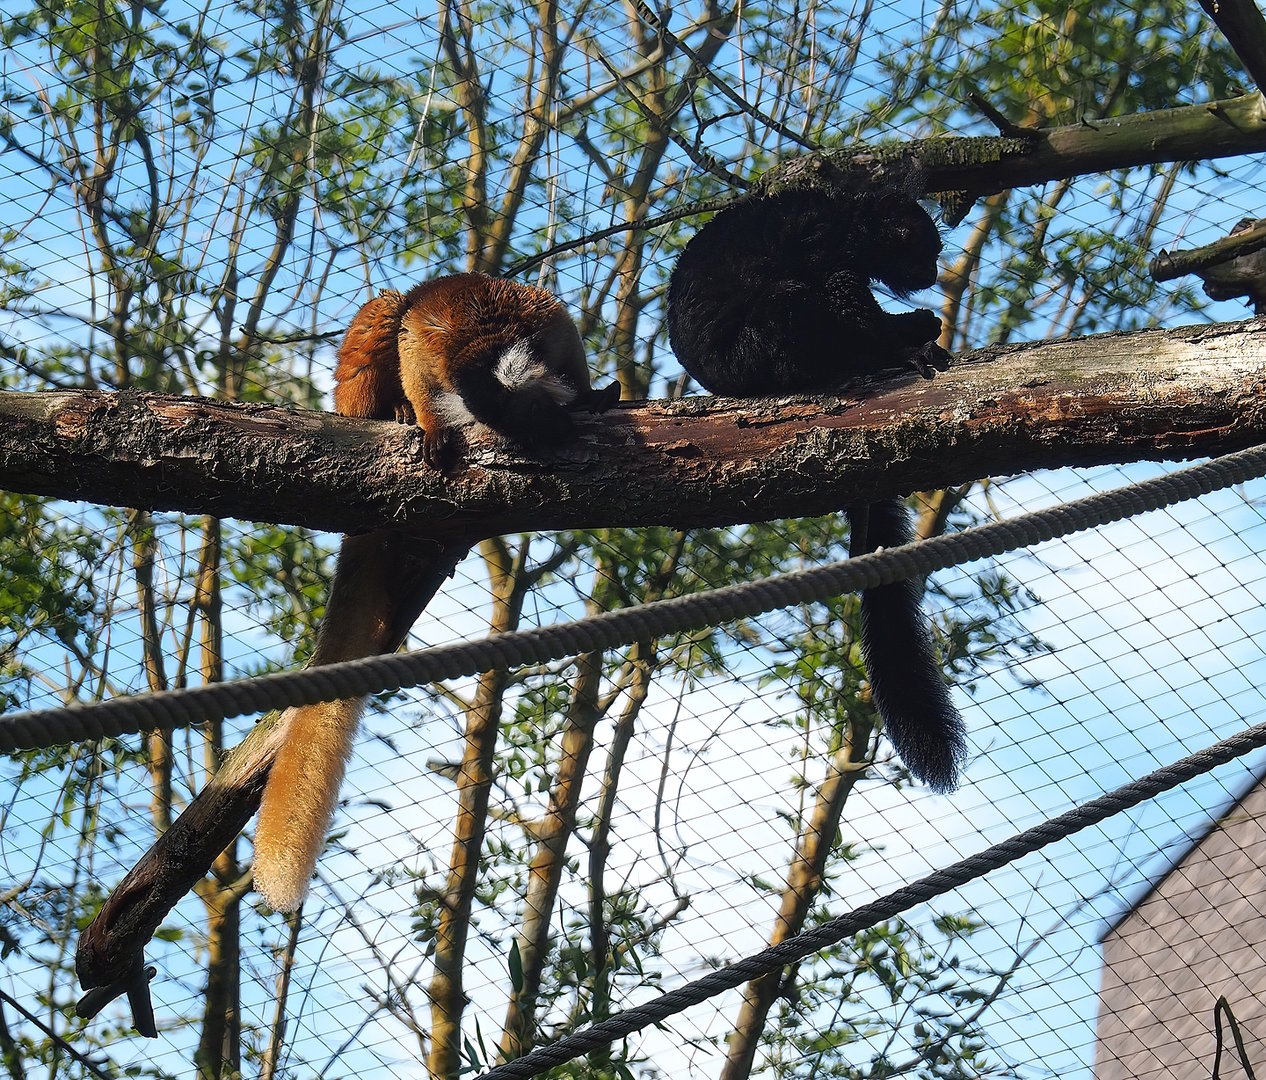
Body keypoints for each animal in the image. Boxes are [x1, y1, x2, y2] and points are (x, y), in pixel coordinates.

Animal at [252, 273, 618, 913]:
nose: (537, 434)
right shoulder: (445, 343)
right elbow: (412, 350)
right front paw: (430, 423)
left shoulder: (551, 322)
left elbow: (574, 364)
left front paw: (594, 395)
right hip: (355, 392)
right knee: (388, 312)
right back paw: (392, 410)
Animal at [665, 176, 966, 793]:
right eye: (923, 247)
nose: (933, 268)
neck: (849, 216)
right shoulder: (821, 238)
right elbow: (842, 290)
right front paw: (904, 336)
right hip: (760, 349)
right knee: (799, 297)